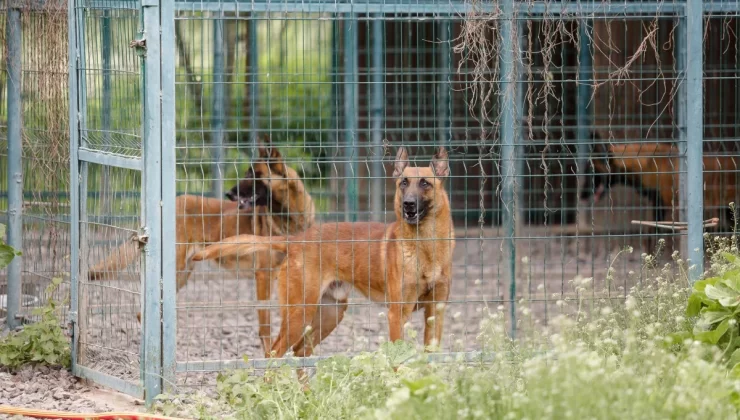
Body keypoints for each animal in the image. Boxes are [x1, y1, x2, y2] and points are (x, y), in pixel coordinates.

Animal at [87, 146, 316, 350]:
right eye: (246, 174)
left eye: (255, 176)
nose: (229, 193)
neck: (289, 217)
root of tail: (171, 201)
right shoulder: (263, 276)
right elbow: (266, 326)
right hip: (174, 272)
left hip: (181, 276)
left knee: (141, 314)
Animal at [189, 146, 456, 360]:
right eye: (403, 183)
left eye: (425, 183)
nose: (407, 204)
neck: (426, 247)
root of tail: (297, 239)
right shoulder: (397, 314)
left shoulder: (436, 311)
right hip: (300, 313)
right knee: (275, 353)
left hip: (329, 313)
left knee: (300, 352)